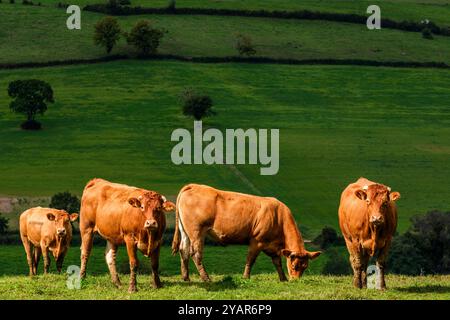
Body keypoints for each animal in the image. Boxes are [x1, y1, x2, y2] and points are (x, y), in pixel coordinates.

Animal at [171, 184, 322, 282]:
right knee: (195, 253)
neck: (279, 217)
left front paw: (283, 279)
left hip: (185, 231)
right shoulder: (257, 241)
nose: (296, 280)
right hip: (196, 231)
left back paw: (186, 277)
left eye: (305, 267)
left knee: (183, 250)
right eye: (294, 265)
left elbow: (277, 262)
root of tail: (194, 186)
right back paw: (206, 278)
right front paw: (246, 277)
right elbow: (251, 259)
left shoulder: (273, 247)